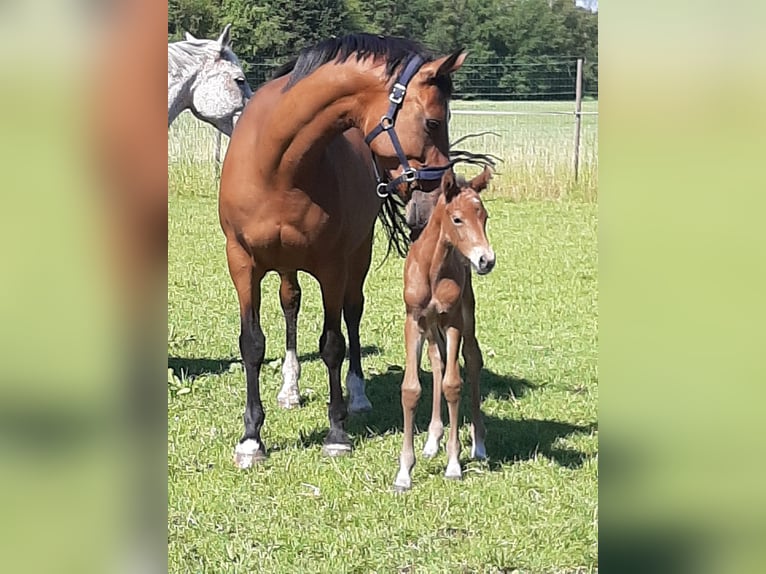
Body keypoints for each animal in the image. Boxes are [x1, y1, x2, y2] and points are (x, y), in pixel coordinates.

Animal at [396, 165, 498, 490]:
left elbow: (453, 385)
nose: (486, 260)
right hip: (431, 326)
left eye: (484, 217)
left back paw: (479, 444)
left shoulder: (453, 320)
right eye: (457, 219)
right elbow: (411, 388)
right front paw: (404, 472)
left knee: (472, 360)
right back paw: (432, 440)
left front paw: (454, 464)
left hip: (466, 314)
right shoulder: (414, 321)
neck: (432, 268)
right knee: (438, 361)